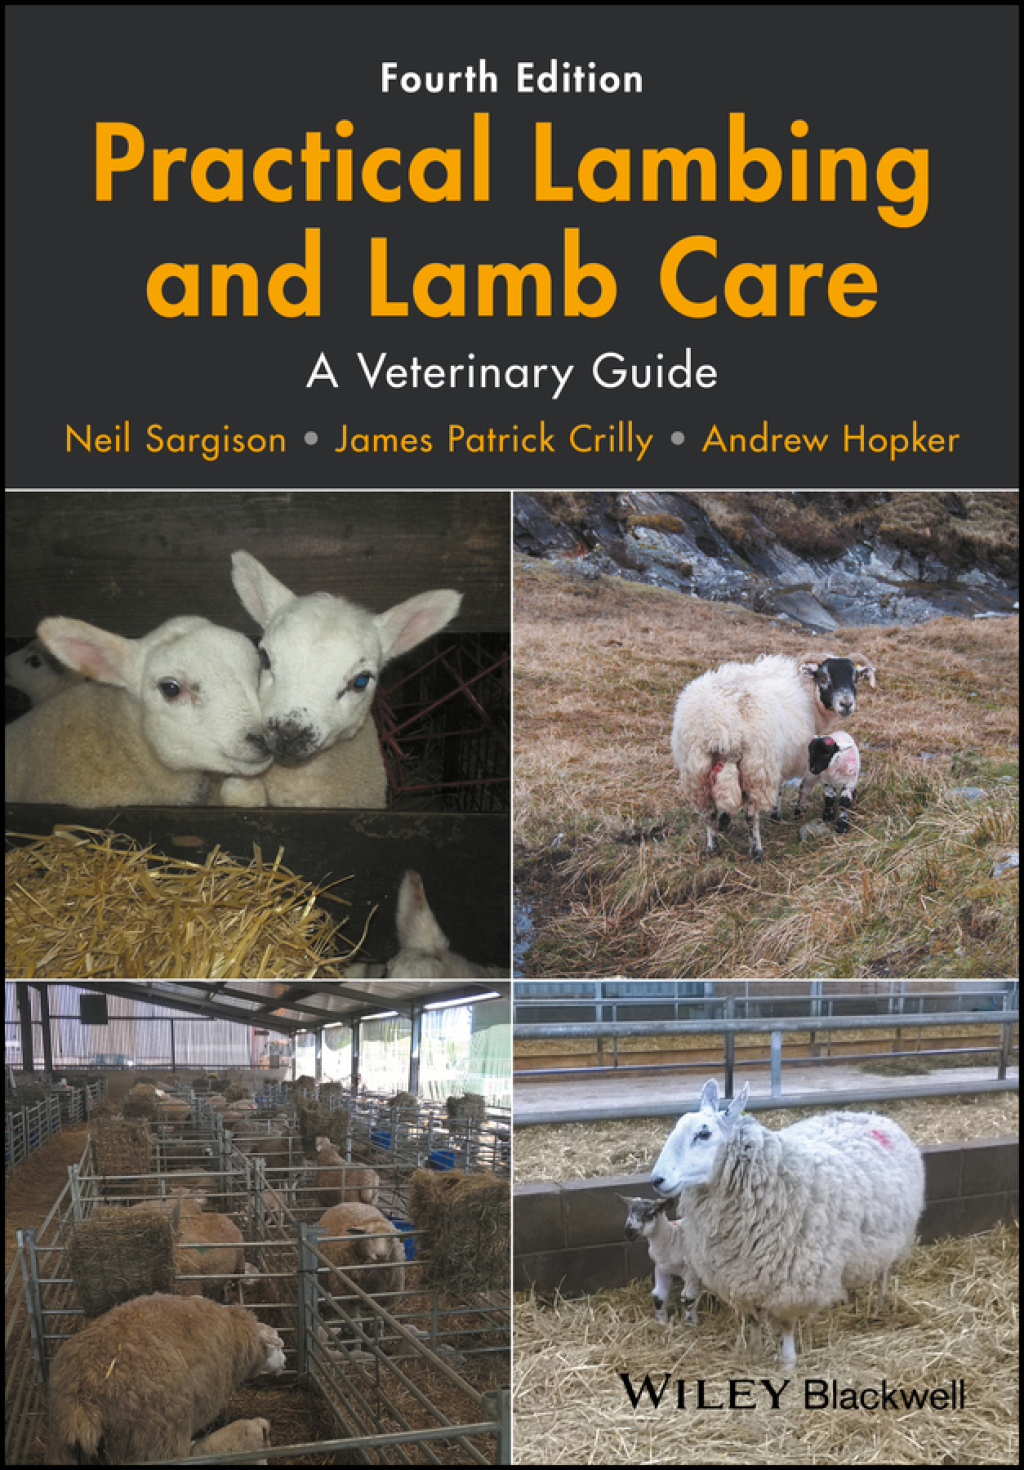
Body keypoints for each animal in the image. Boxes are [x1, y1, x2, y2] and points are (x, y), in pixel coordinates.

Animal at [620, 1195, 702, 1325]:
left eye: (650, 1214)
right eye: (629, 1211)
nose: (628, 1232)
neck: (671, 1239)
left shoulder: (691, 1272)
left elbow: (688, 1296)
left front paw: (691, 1323)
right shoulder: (661, 1268)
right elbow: (659, 1295)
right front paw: (662, 1321)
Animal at [651, 1079, 924, 1369]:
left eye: (704, 1134)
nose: (657, 1180)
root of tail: (872, 1116)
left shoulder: (792, 1280)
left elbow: (786, 1325)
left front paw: (788, 1362)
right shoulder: (741, 1277)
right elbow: (753, 1319)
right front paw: (755, 1351)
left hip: (895, 1238)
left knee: (884, 1274)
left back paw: (880, 1304)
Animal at [671, 652, 876, 860]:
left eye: (855, 678)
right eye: (824, 678)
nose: (846, 704)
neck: (808, 691)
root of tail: (719, 723)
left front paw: (726, 821)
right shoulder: (778, 761)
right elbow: (778, 790)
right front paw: (776, 816)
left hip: (697, 769)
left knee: (709, 811)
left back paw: (713, 848)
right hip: (756, 767)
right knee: (751, 815)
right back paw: (756, 852)